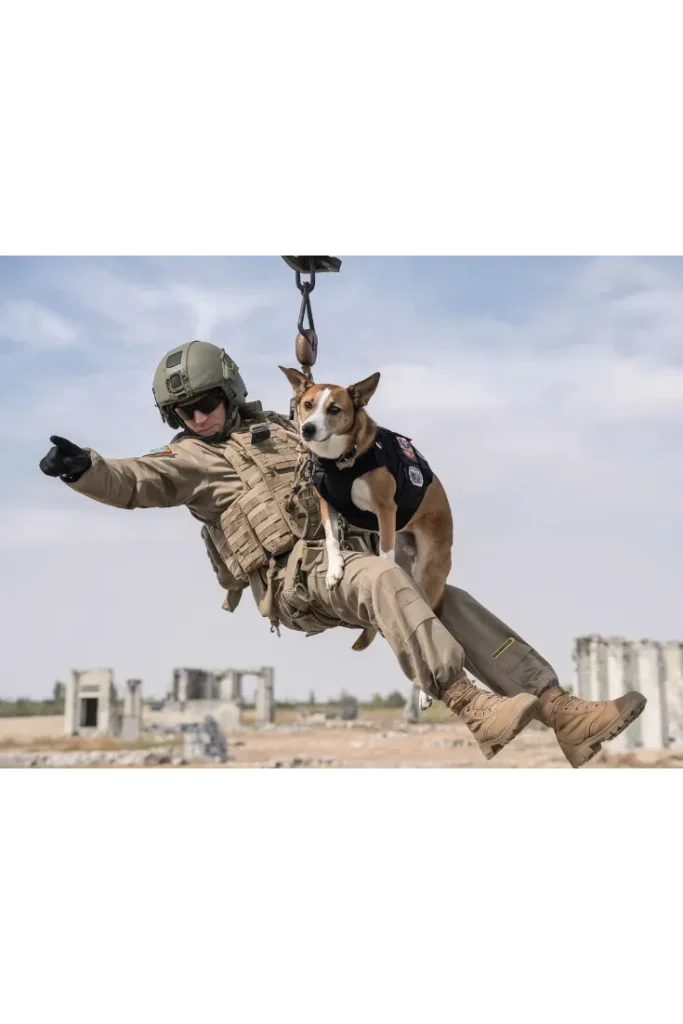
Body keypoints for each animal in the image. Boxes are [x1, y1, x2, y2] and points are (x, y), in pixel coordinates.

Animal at [278, 368, 454, 712]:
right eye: (307, 404)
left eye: (334, 409)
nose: (307, 428)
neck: (339, 460)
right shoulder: (327, 504)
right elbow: (332, 538)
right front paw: (334, 570)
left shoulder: (386, 510)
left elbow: (384, 551)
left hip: (428, 572)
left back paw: (425, 693)